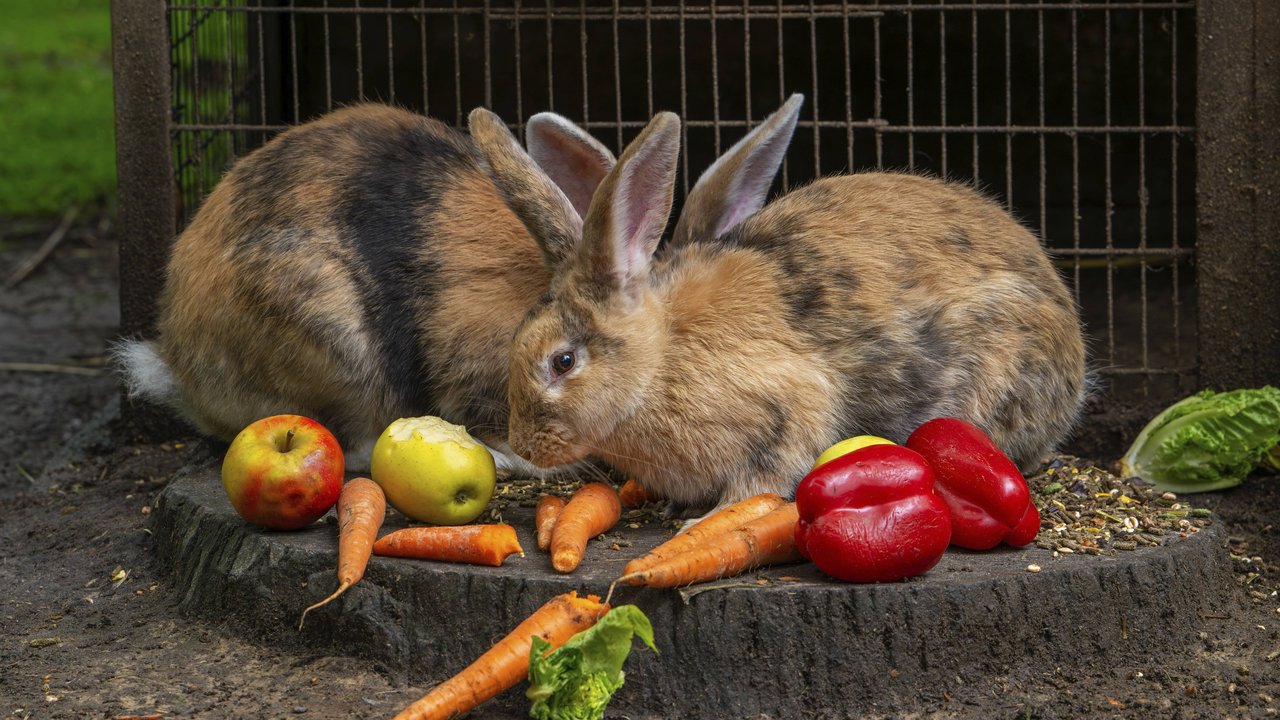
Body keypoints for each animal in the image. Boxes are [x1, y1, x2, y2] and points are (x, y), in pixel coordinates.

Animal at [471, 94, 1090, 509]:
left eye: (563, 361)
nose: (526, 443)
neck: (659, 360)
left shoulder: (790, 407)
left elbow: (764, 478)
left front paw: (701, 522)